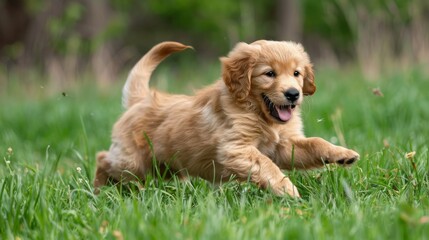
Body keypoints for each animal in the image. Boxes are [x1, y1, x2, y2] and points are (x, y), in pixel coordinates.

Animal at [93, 39, 358, 197]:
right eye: (269, 74)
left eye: (296, 73)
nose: (293, 94)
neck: (260, 114)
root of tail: (142, 99)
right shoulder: (235, 148)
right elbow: (267, 165)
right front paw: (286, 189)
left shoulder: (284, 145)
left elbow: (314, 143)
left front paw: (342, 153)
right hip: (132, 162)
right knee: (103, 158)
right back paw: (98, 190)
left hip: (165, 167)